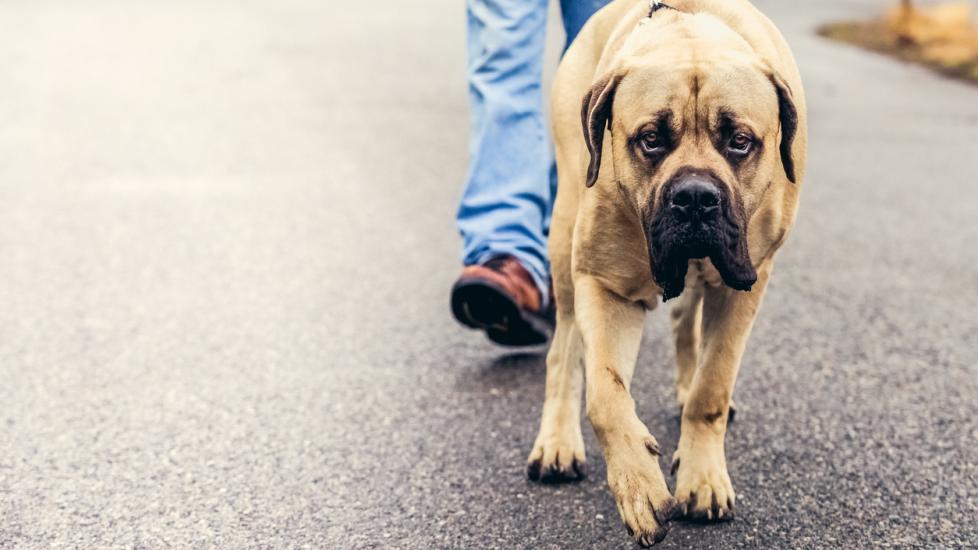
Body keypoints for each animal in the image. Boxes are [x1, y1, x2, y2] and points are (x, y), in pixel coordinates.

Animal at [528, 0, 808, 548]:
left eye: (739, 141)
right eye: (651, 140)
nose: (695, 197)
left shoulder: (746, 284)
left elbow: (711, 388)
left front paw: (702, 478)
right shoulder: (605, 284)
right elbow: (606, 395)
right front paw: (638, 484)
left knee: (686, 323)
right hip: (566, 238)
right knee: (564, 349)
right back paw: (557, 441)